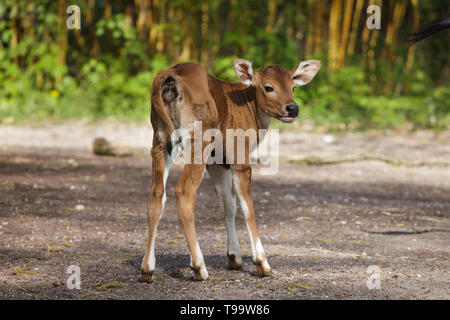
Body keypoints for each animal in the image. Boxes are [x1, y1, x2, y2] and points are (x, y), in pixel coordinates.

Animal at [139, 58, 322, 282]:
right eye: (268, 87)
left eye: (293, 86)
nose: (292, 108)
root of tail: (170, 78)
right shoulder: (240, 155)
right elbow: (247, 207)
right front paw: (262, 264)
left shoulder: (218, 161)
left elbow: (228, 204)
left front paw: (234, 257)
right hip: (198, 139)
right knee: (184, 192)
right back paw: (199, 268)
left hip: (159, 138)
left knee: (156, 194)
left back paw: (147, 269)